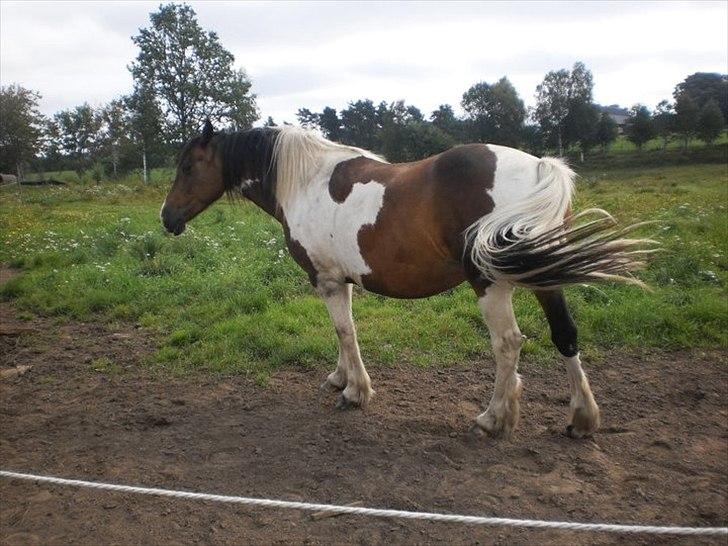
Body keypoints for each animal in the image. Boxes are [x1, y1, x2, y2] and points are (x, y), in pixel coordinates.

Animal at [161, 120, 656, 438]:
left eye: (187, 166)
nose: (167, 218)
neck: (305, 182)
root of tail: (538, 167)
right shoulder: (340, 279)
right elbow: (343, 333)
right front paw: (340, 378)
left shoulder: (326, 280)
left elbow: (344, 331)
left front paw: (355, 392)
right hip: (541, 275)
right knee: (564, 335)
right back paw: (582, 419)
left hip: (491, 283)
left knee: (508, 344)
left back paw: (493, 419)